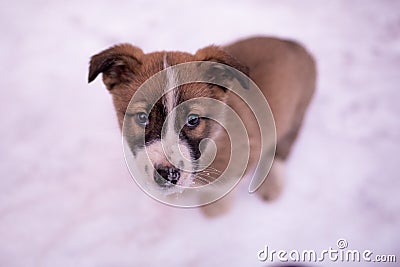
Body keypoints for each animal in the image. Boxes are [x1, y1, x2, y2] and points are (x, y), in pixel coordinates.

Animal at [87, 36, 316, 217]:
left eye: (193, 120)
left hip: (297, 112)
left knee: (282, 148)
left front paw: (213, 212)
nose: (167, 175)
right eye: (142, 117)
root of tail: (295, 44)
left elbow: (220, 194)